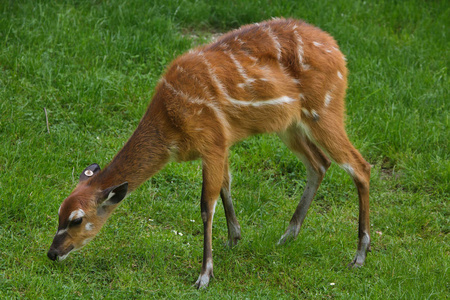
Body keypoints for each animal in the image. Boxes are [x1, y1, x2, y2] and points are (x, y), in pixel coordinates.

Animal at [48, 18, 372, 288]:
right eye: (59, 212)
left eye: (76, 220)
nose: (52, 253)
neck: (170, 124)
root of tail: (337, 50)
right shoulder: (221, 145)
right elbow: (226, 186)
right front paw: (233, 240)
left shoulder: (212, 141)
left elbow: (207, 205)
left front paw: (204, 275)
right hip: (290, 125)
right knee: (320, 163)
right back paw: (287, 236)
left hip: (324, 109)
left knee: (359, 165)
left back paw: (359, 256)